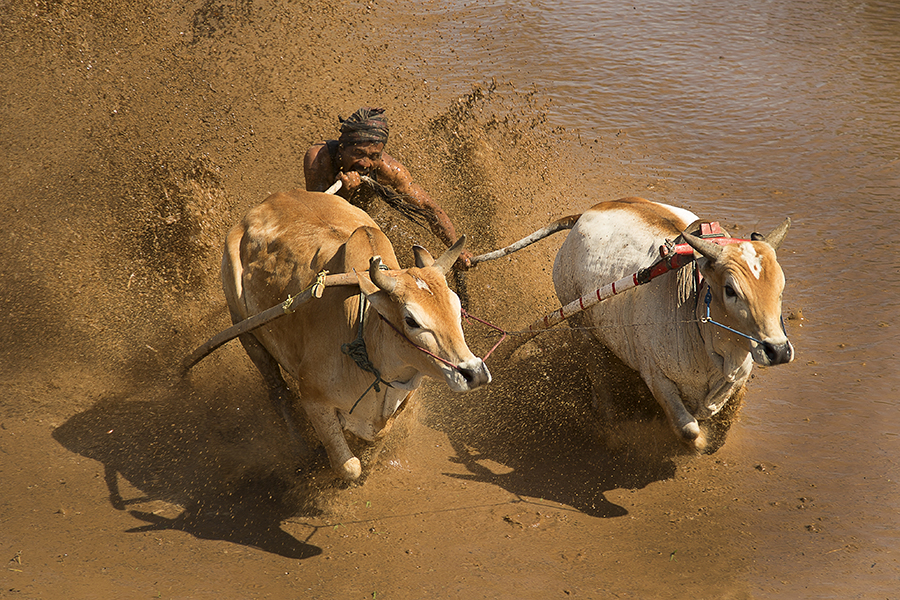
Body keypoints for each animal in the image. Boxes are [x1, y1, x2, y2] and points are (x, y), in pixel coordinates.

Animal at [221, 190, 491, 480]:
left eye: (457, 306)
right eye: (411, 320)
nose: (474, 373)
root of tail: (264, 204)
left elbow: (372, 452)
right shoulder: (314, 400)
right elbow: (350, 467)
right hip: (246, 332)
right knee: (276, 389)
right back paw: (300, 445)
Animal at [552, 197, 793, 452]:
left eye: (780, 287)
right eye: (730, 290)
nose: (778, 350)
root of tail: (588, 212)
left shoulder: (739, 376)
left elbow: (718, 425)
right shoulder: (656, 377)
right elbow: (688, 429)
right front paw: (698, 442)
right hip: (579, 327)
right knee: (599, 376)